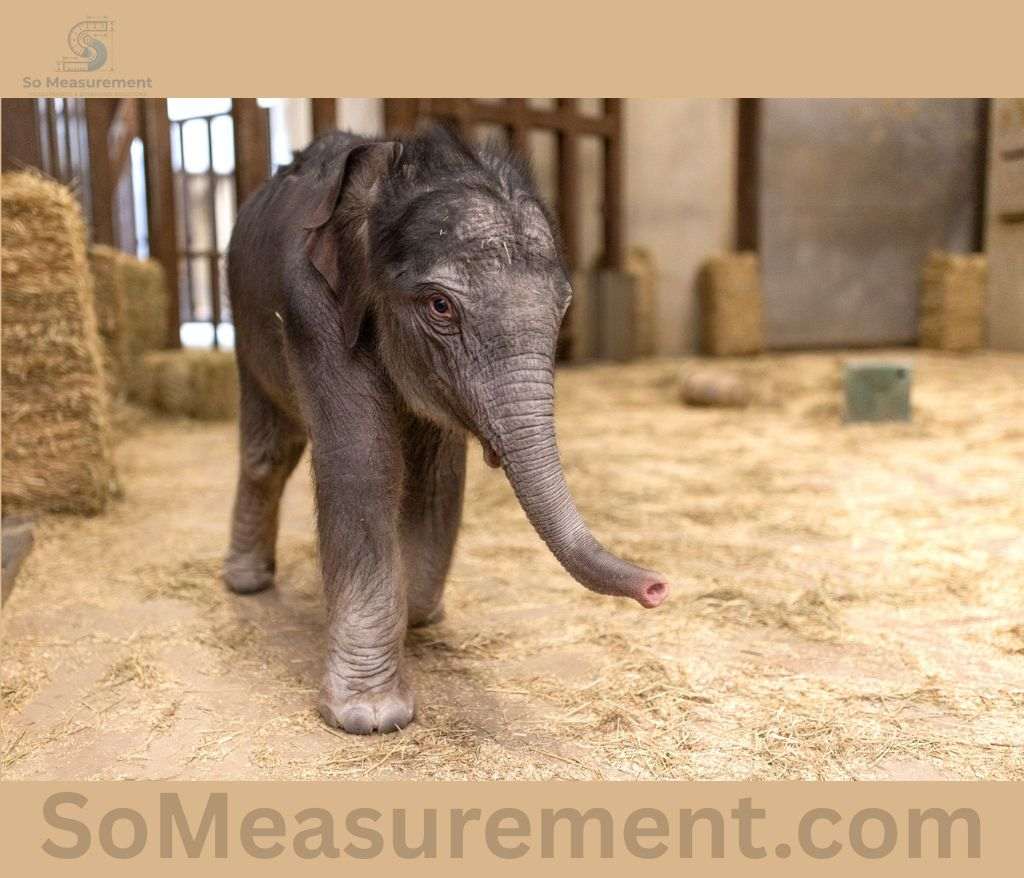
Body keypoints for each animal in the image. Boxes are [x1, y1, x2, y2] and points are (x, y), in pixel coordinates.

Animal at [224, 126, 671, 735]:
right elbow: (363, 465)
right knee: (269, 450)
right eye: (440, 306)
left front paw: (418, 615)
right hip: (246, 331)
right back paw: (245, 584)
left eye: (564, 308)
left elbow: (435, 476)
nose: (657, 588)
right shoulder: (313, 310)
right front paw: (370, 717)